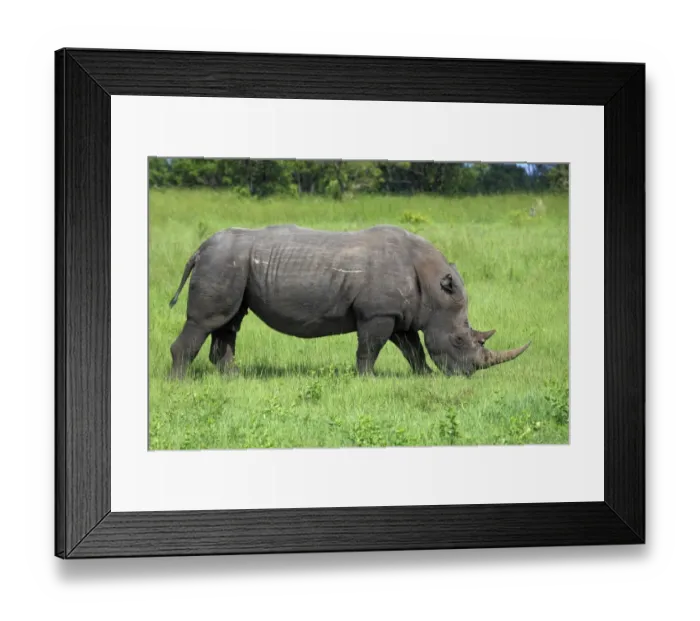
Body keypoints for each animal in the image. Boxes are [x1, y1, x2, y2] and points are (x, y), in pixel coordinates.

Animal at [167, 224, 530, 378]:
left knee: (229, 321)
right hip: (221, 262)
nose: (467, 374)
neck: (432, 285)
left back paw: (234, 378)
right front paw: (367, 380)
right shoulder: (378, 313)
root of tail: (199, 249)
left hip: (232, 264)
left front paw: (424, 375)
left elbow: (411, 347)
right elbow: (370, 348)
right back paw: (180, 382)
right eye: (458, 340)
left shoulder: (401, 313)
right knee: (207, 321)